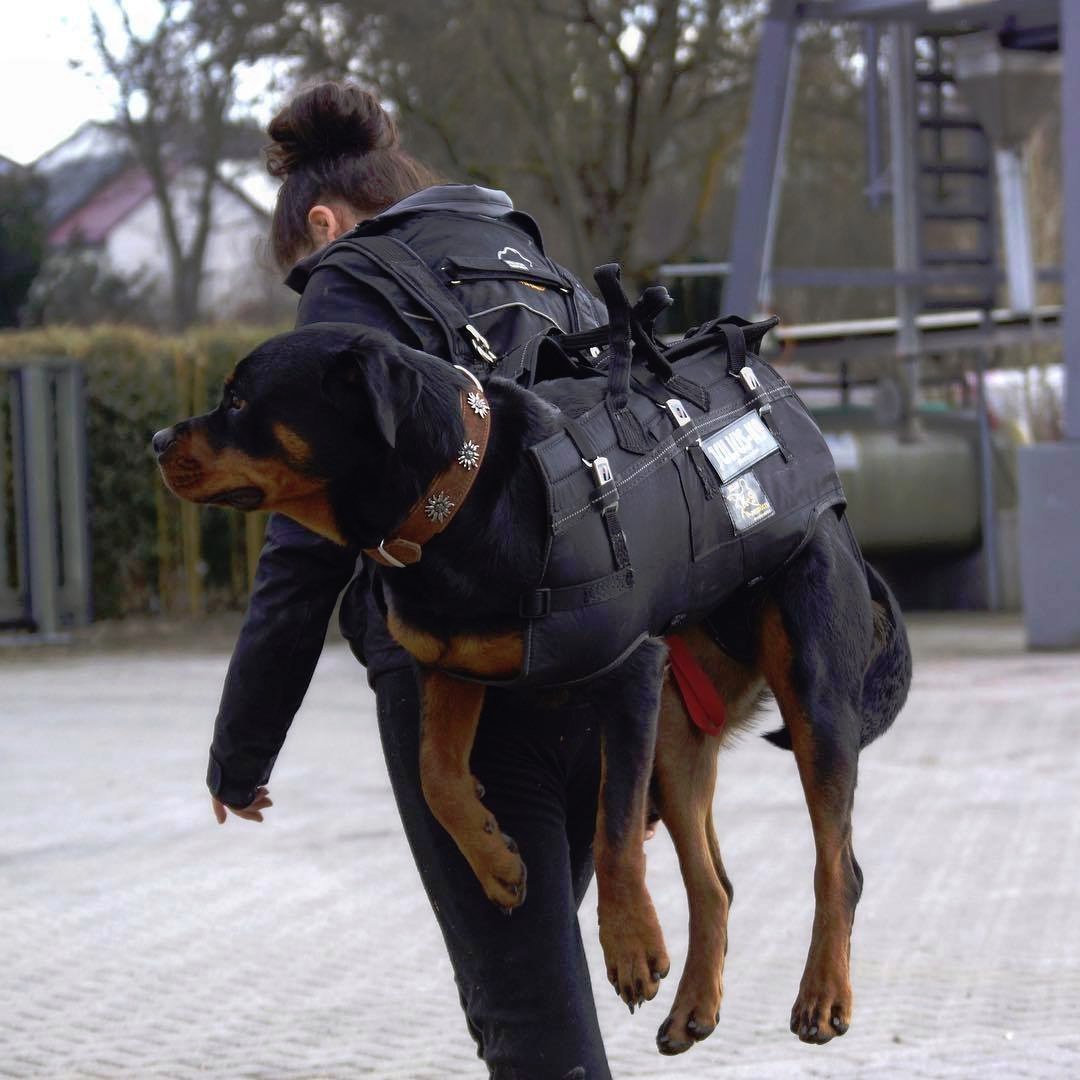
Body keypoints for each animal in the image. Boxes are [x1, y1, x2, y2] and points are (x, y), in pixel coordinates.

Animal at [154, 319, 911, 1054]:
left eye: (240, 402)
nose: (157, 440)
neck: (453, 503)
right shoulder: (450, 665)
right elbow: (436, 775)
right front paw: (495, 859)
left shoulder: (630, 671)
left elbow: (614, 829)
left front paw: (630, 943)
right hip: (676, 726)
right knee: (714, 884)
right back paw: (695, 1005)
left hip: (811, 695)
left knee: (837, 865)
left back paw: (823, 995)